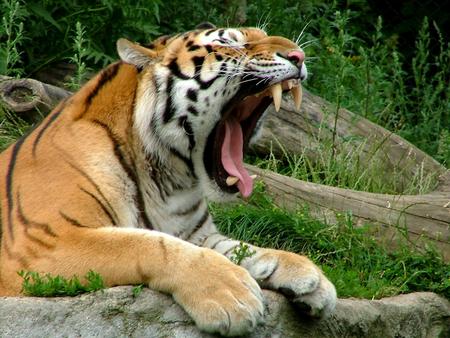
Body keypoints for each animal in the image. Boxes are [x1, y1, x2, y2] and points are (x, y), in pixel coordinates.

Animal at [0, 23, 336, 336]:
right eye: (229, 42)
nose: (299, 55)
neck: (169, 177)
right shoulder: (45, 242)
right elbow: (147, 245)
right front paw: (233, 294)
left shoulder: (199, 235)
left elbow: (245, 249)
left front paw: (310, 276)